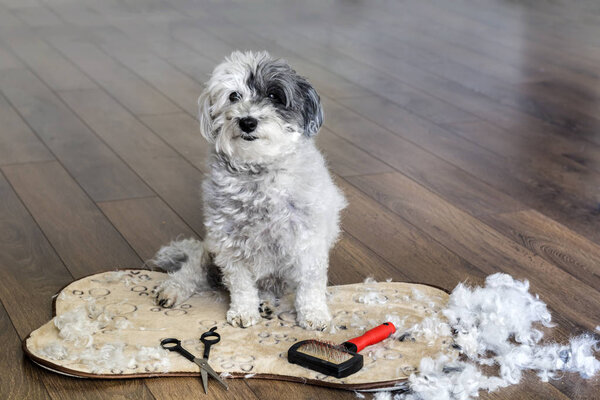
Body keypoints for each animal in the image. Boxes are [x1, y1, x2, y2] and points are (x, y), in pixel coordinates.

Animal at [152, 50, 344, 332]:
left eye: (274, 96)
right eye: (234, 96)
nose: (247, 122)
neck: (259, 171)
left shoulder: (308, 241)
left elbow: (310, 285)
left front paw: (315, 314)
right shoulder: (229, 243)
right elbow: (241, 284)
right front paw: (243, 311)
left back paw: (267, 303)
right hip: (208, 252)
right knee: (192, 271)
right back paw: (173, 290)